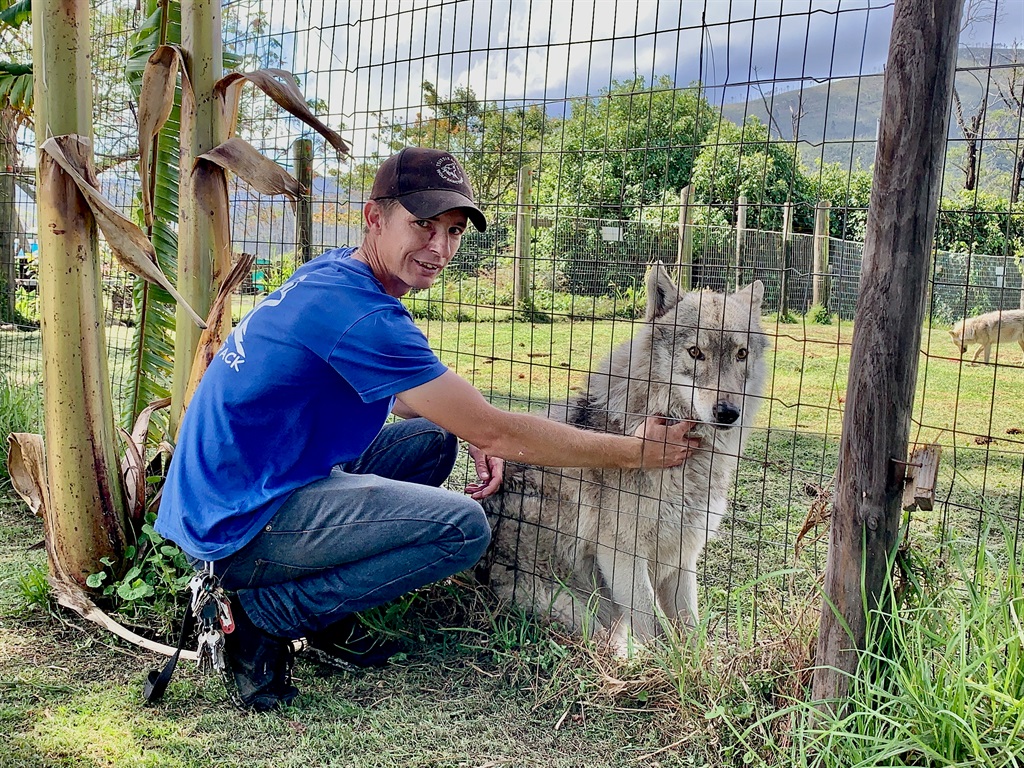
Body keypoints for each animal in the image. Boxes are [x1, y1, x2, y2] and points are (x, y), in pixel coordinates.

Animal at [479, 264, 770, 655]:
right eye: (696, 352)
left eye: (741, 354)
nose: (727, 412)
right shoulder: (622, 555)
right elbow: (650, 624)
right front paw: (657, 664)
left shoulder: (682, 558)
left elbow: (690, 629)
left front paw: (694, 664)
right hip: (584, 614)